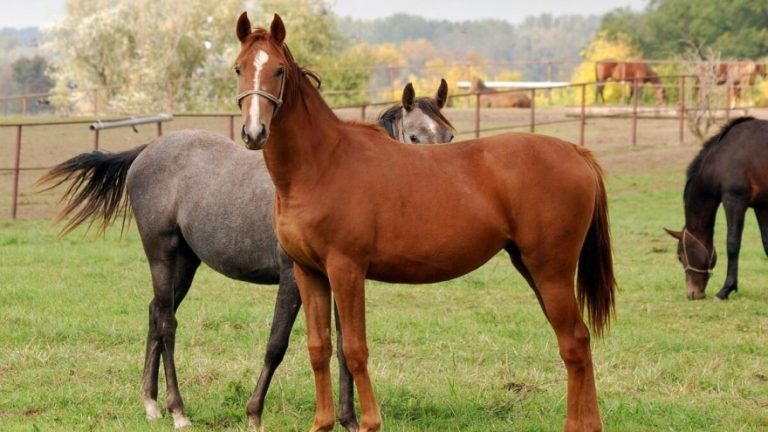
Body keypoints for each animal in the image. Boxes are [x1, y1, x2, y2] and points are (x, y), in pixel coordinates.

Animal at [37, 79, 456, 430]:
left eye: (450, 135)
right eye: (415, 137)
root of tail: (146, 152)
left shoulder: (342, 276)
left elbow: (343, 346)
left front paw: (350, 421)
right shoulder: (294, 280)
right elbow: (277, 344)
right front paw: (254, 414)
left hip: (185, 261)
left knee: (156, 313)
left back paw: (151, 402)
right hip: (162, 253)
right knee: (168, 323)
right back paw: (177, 410)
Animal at [237, 13, 616, 432]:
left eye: (279, 70)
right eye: (238, 68)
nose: (254, 133)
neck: (322, 164)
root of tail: (576, 151)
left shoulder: (346, 269)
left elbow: (354, 349)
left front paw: (370, 422)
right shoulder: (309, 272)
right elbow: (319, 347)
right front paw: (322, 423)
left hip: (551, 270)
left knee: (573, 343)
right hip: (531, 266)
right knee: (579, 339)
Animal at [664, 116, 768, 302]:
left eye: (680, 256)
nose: (692, 293)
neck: (722, 158)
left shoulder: (734, 201)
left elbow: (732, 244)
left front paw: (725, 289)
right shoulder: (761, 206)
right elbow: (767, 243)